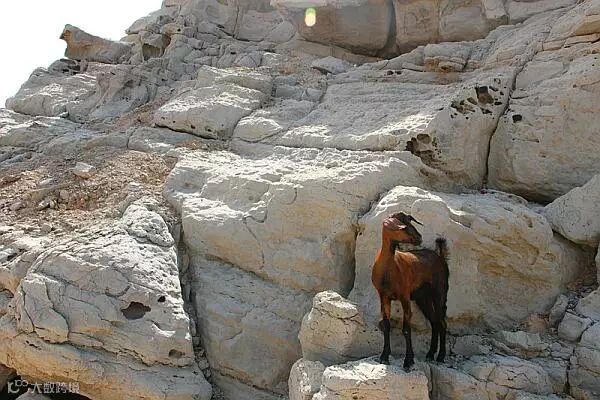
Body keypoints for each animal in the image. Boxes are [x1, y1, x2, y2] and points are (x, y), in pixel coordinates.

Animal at [371, 212, 449, 369]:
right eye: (404, 226)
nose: (419, 238)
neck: (388, 268)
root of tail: (440, 257)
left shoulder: (404, 296)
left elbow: (406, 329)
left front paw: (408, 361)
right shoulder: (383, 296)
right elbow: (386, 325)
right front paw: (384, 357)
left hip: (440, 292)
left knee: (442, 322)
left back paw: (440, 356)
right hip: (423, 298)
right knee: (434, 321)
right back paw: (430, 354)